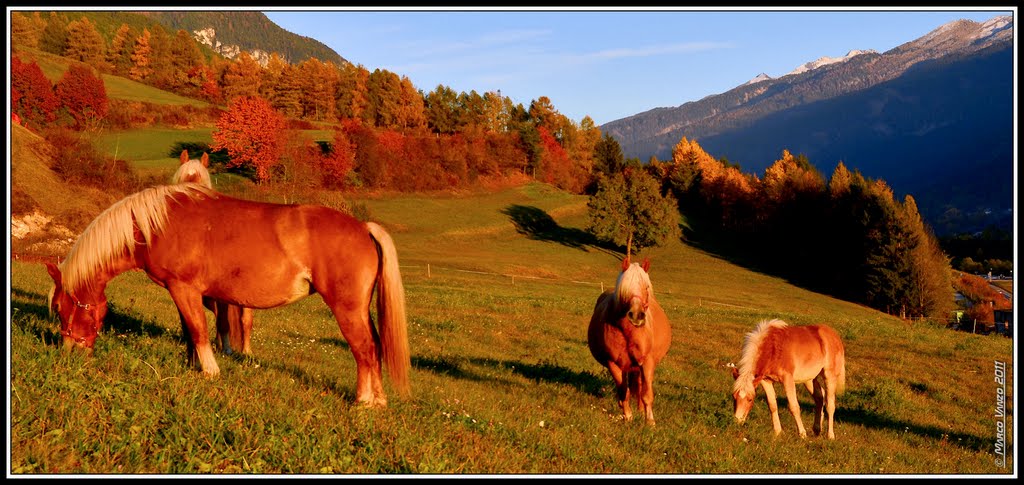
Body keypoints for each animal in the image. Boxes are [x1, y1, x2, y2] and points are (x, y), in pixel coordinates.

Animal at [46, 184, 407, 407]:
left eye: (62, 307)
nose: (69, 353)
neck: (156, 225)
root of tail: (363, 228)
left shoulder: (184, 288)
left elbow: (198, 331)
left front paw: (210, 371)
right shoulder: (181, 292)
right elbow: (189, 331)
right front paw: (191, 365)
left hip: (347, 309)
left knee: (364, 349)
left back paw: (364, 401)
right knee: (374, 347)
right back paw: (379, 400)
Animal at [585, 257, 671, 423]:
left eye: (646, 287)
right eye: (625, 288)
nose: (636, 315)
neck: (628, 331)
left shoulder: (647, 362)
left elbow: (646, 394)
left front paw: (649, 421)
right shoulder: (613, 364)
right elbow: (623, 392)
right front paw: (628, 417)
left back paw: (641, 410)